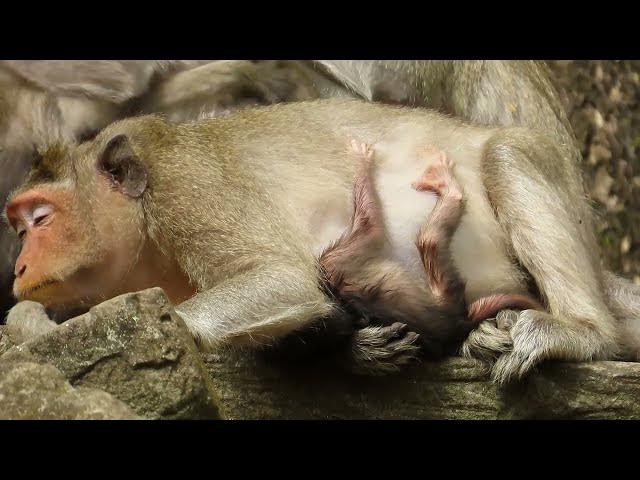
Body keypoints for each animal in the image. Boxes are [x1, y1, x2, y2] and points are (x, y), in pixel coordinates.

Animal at [2, 60, 637, 383]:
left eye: (41, 218)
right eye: (20, 227)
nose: (20, 266)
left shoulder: (191, 196)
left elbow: (282, 282)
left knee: (505, 156)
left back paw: (582, 332)